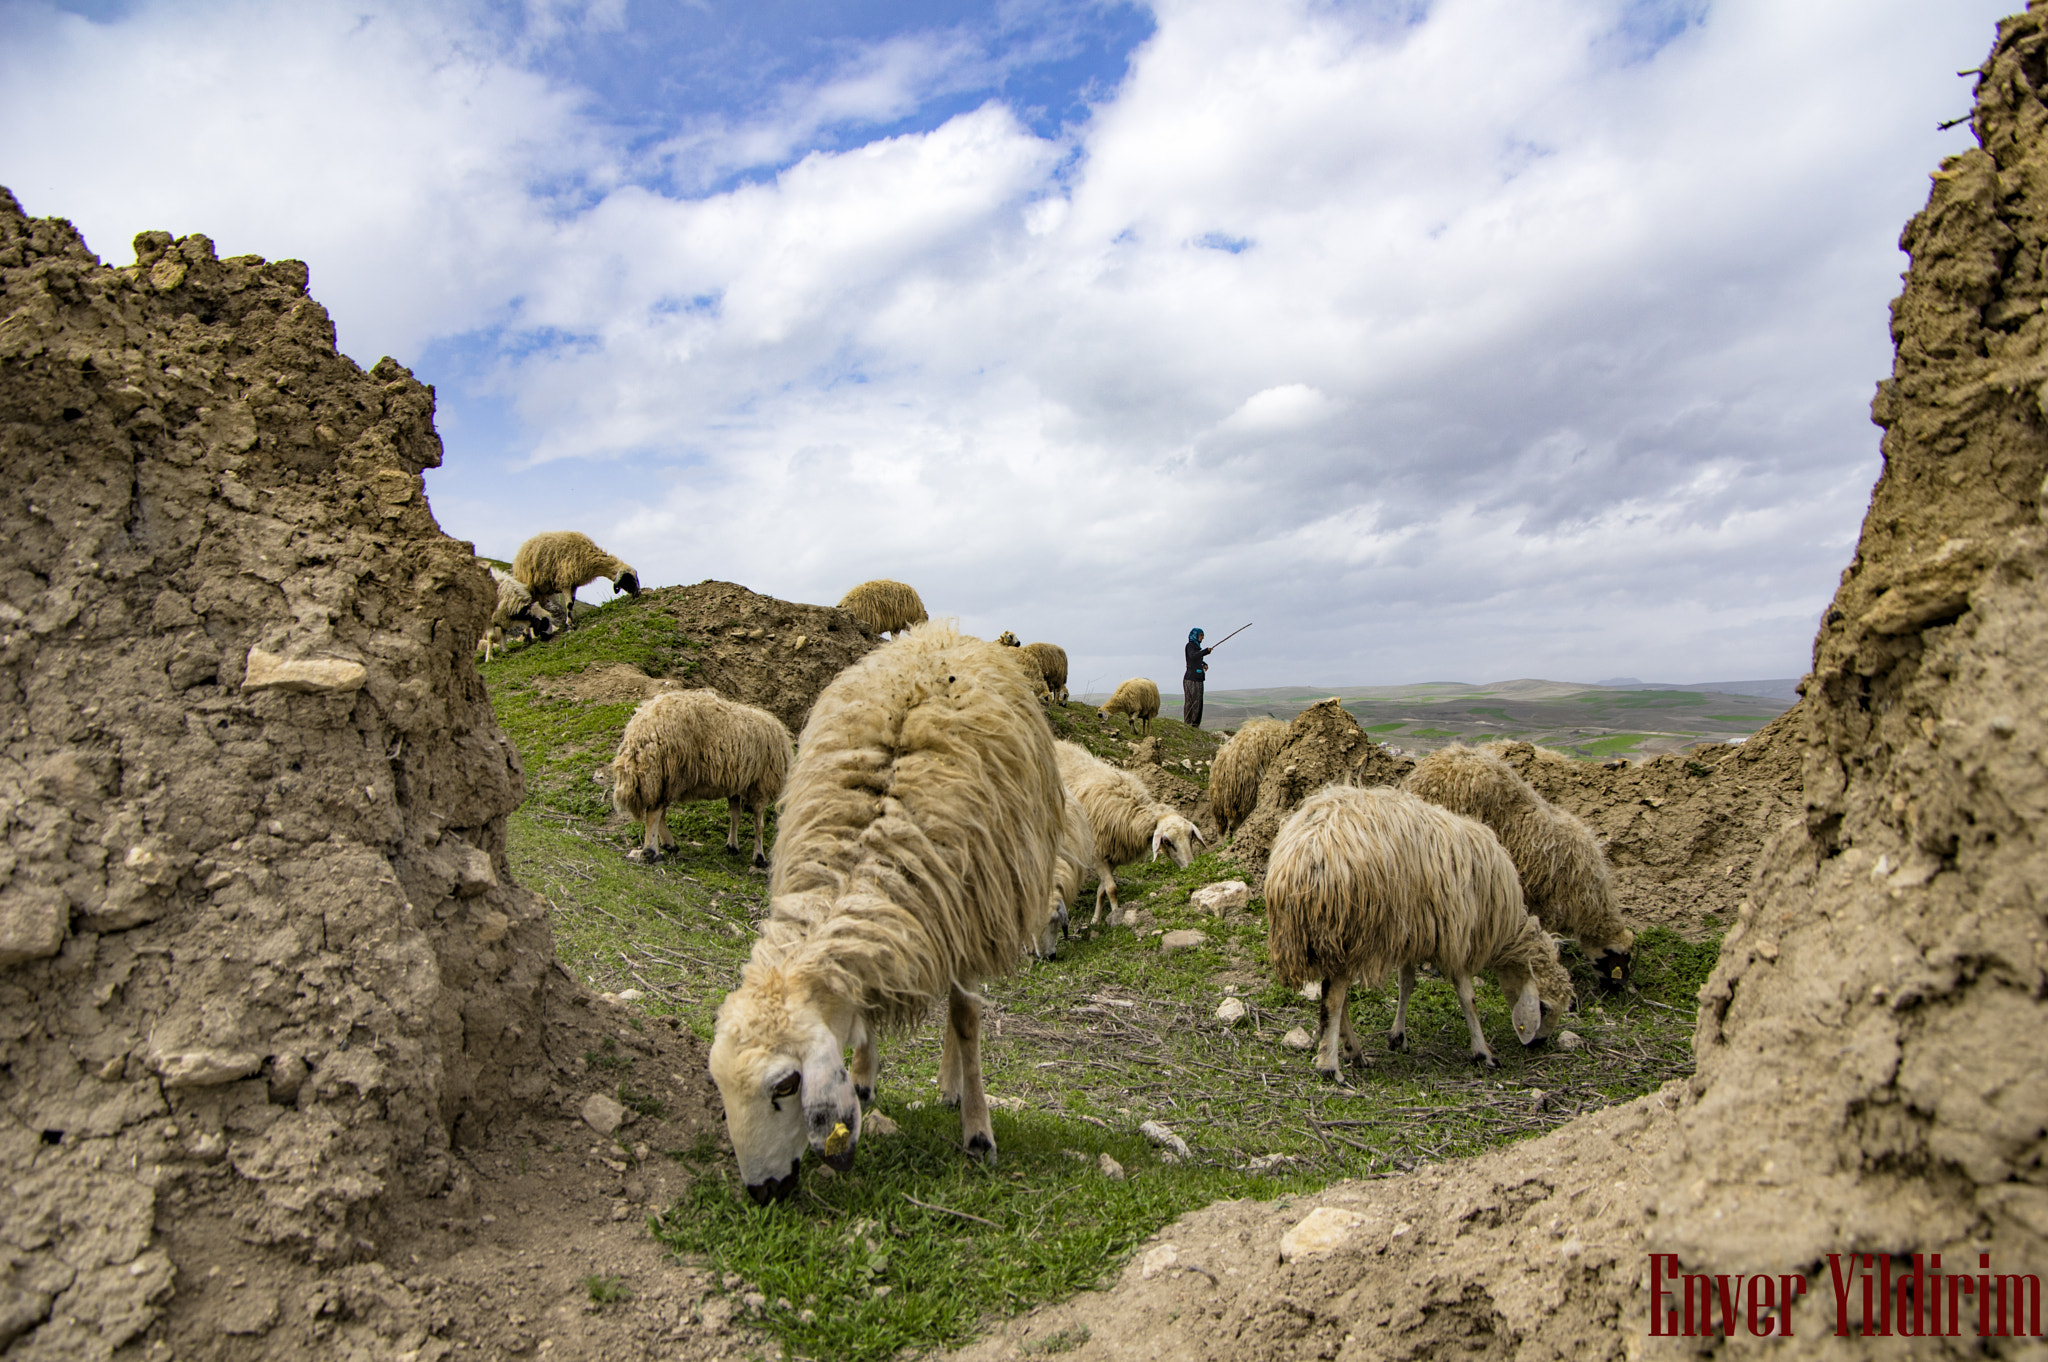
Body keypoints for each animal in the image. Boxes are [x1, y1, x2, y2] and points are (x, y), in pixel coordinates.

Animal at [606, 684, 790, 864]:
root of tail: (642, 730)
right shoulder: (761, 784)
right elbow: (759, 824)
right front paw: (759, 856)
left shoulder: (736, 782)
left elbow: (735, 815)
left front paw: (732, 845)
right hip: (670, 772)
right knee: (654, 813)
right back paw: (652, 852)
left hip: (661, 778)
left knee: (659, 812)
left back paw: (668, 845)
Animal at [708, 618, 1064, 1204]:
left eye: (786, 1085)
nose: (763, 1191)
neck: (862, 858)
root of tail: (939, 631)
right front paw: (862, 1077)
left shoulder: (965, 911)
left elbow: (966, 1021)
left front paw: (977, 1132)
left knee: (961, 1010)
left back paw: (951, 1086)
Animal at [1056, 745, 1196, 925]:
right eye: (1167, 841)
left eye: (1190, 837)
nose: (1190, 866)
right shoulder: (1098, 854)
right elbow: (1112, 889)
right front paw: (1115, 915)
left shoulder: (1114, 855)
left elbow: (1103, 890)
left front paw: (1096, 920)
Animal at [1253, 782, 1572, 1081]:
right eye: (1544, 1007)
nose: (1539, 1044)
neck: (1503, 927)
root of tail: (1301, 857)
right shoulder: (1456, 936)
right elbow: (1468, 998)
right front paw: (1483, 1052)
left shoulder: (1413, 932)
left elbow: (1407, 983)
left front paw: (1398, 1036)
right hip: (1349, 930)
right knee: (1333, 999)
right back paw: (1331, 1065)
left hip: (1331, 937)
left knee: (1333, 996)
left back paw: (1352, 1051)